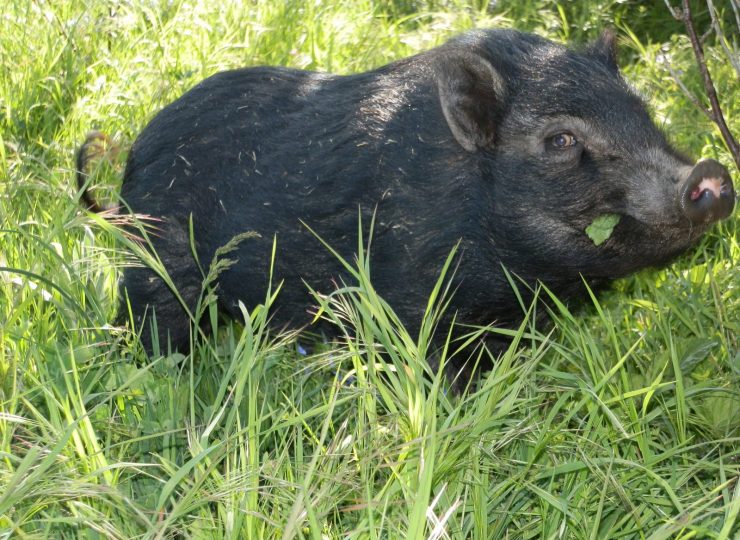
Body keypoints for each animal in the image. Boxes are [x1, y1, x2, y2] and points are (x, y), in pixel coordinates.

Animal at [78, 28, 736, 368]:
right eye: (561, 139)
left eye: (642, 113)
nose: (709, 173)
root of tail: (133, 158)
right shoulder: (419, 309)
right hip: (155, 271)